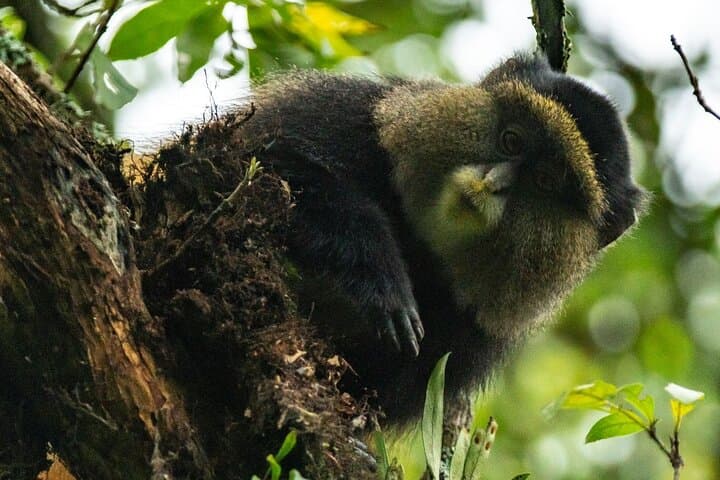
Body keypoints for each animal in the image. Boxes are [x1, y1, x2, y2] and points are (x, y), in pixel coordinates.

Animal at [234, 53, 645, 422]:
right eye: (512, 141)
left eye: (544, 180)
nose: (493, 182)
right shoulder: (346, 111)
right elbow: (265, 155)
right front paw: (384, 281)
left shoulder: (468, 337)